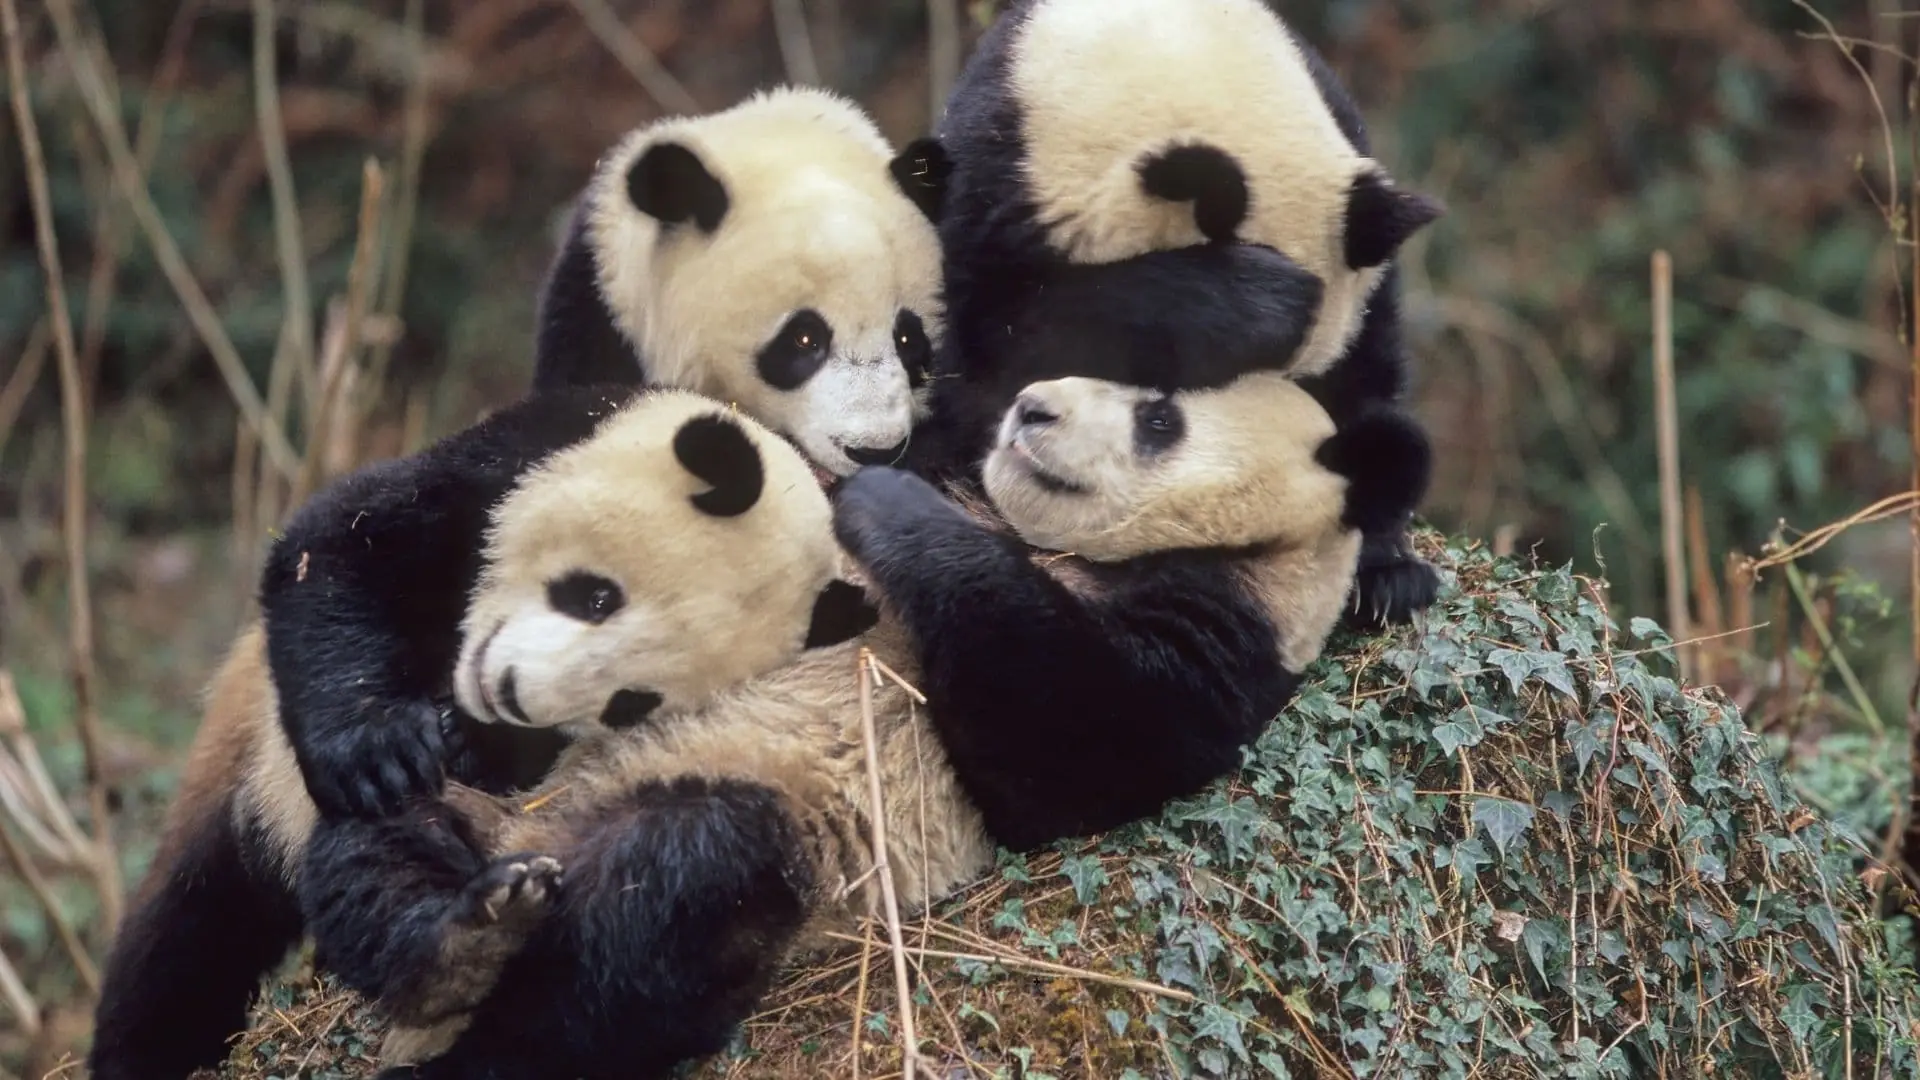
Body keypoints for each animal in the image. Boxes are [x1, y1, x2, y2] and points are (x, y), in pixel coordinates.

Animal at [84, 387, 881, 1080]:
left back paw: (473, 946)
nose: (511, 693)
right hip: (243, 770)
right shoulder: (507, 466)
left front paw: (474, 740)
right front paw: (376, 748)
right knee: (188, 937)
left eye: (634, 700)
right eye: (595, 597)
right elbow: (339, 546)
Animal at [298, 370, 1430, 1080]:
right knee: (372, 844)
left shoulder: (1223, 647)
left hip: (749, 850)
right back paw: (451, 928)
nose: (1030, 408)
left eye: (1159, 419)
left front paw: (895, 518)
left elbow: (1064, 758)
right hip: (501, 808)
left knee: (670, 907)